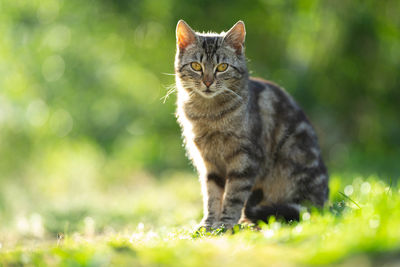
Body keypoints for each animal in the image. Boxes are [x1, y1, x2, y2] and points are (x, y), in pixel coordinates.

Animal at [174, 21, 328, 230]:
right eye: (196, 66)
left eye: (222, 67)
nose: (207, 82)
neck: (209, 115)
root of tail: (322, 203)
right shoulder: (208, 164)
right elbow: (212, 197)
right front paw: (208, 225)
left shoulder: (245, 159)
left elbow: (233, 196)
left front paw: (225, 225)